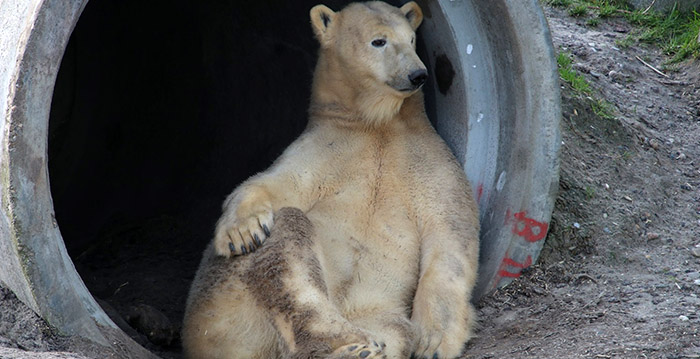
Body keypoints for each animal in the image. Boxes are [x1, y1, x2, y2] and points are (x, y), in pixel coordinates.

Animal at [182, 1, 482, 358]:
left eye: (411, 39)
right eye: (378, 41)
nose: (417, 74)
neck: (378, 124)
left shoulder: (427, 161)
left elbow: (450, 235)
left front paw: (433, 342)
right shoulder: (326, 150)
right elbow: (274, 184)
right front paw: (242, 232)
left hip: (372, 311)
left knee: (395, 329)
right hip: (222, 307)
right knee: (288, 236)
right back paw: (350, 345)